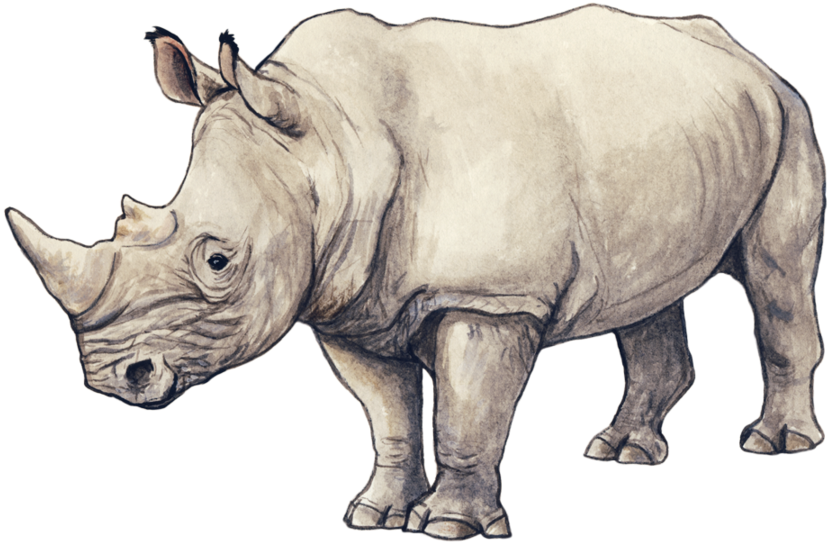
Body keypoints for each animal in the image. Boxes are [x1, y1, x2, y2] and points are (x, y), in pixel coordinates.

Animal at [4, 4, 825, 540]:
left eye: (218, 261)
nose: (114, 378)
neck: (334, 138)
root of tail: (744, 54)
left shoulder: (490, 298)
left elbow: (468, 410)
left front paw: (450, 529)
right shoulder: (346, 303)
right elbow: (390, 415)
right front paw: (374, 515)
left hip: (789, 117)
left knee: (777, 277)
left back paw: (775, 446)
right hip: (681, 136)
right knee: (647, 295)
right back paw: (620, 454)